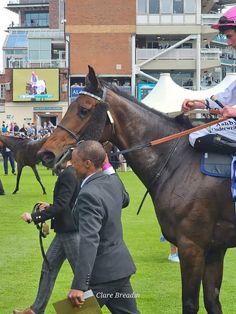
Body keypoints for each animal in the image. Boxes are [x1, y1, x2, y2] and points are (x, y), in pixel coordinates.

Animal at [37, 65, 236, 312]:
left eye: (83, 109)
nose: (46, 153)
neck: (178, 162)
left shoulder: (192, 246)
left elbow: (190, 303)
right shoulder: (214, 249)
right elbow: (212, 301)